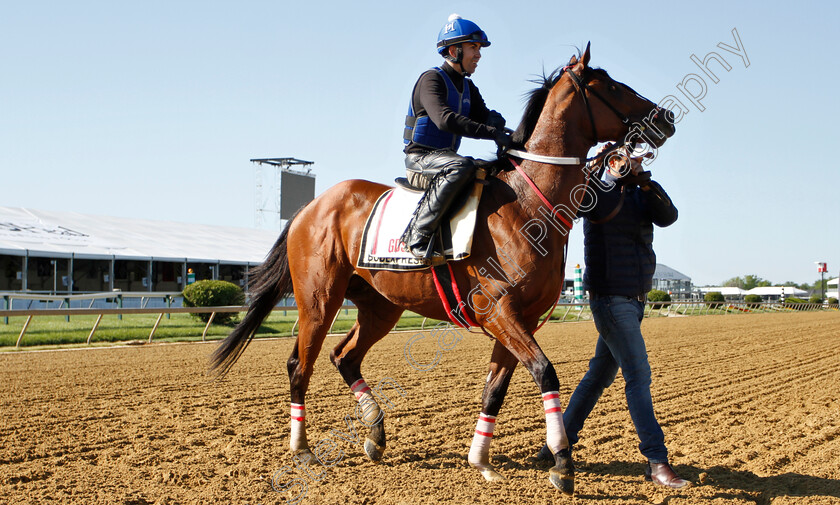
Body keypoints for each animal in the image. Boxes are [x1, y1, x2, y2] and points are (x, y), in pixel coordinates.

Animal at [212, 44, 676, 496]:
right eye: (612, 86)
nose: (665, 117)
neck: (529, 203)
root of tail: (311, 206)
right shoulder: (499, 311)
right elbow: (546, 372)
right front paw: (562, 464)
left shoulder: (518, 319)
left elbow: (494, 390)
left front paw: (481, 461)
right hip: (318, 301)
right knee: (299, 365)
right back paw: (303, 449)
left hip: (380, 307)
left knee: (344, 356)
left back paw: (375, 434)